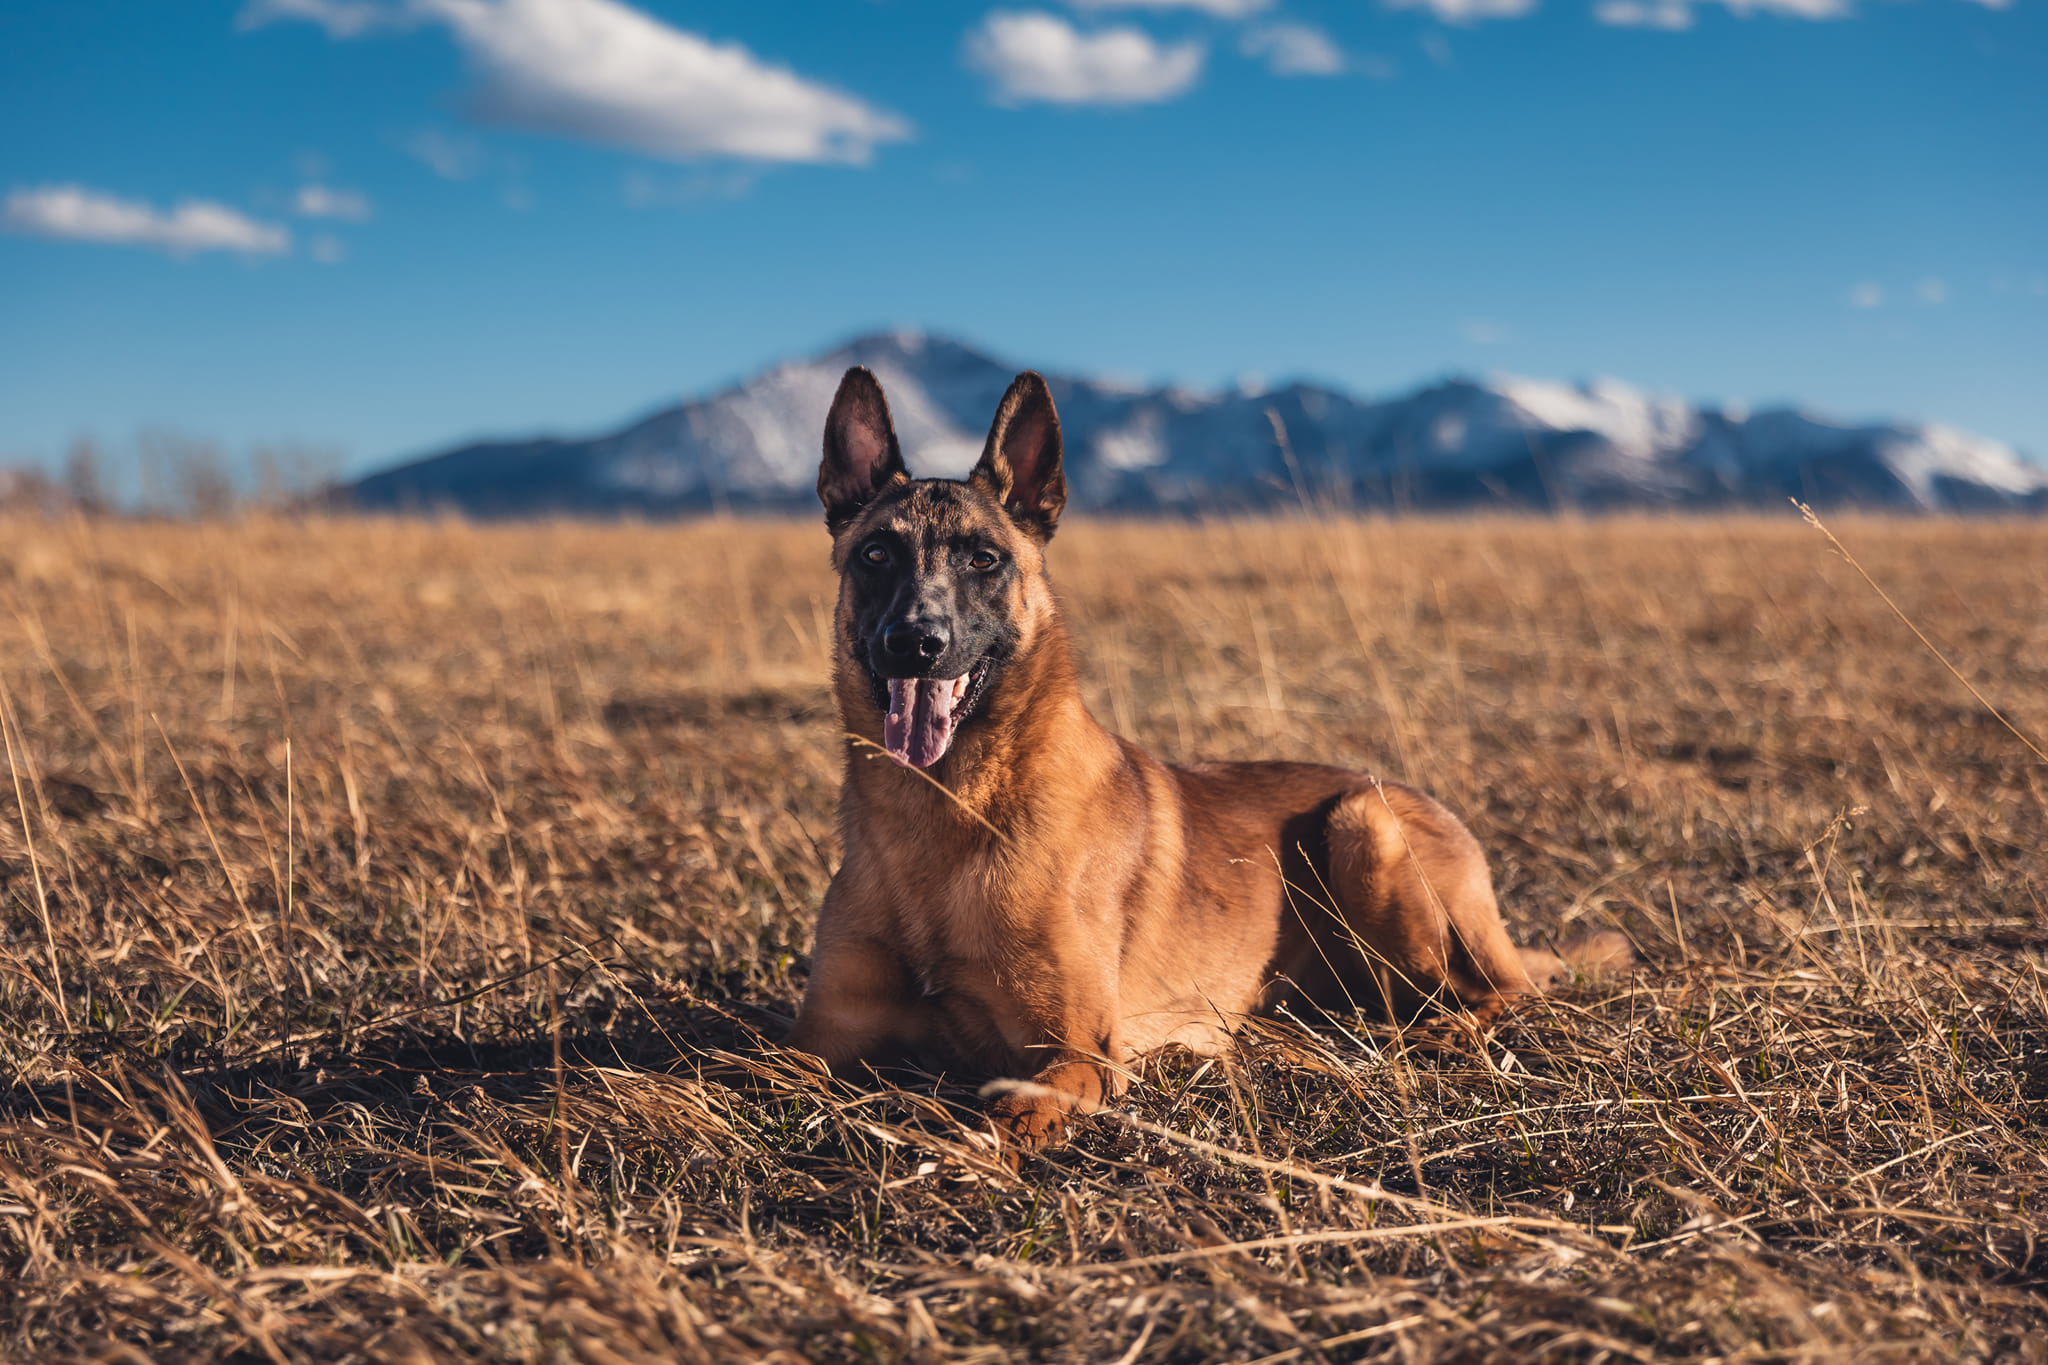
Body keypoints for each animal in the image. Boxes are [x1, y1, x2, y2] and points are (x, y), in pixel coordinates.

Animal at [774, 366, 1622, 1154]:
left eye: (984, 559)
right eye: (875, 554)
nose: (915, 642)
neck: (943, 812)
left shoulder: (1077, 1054)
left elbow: (995, 1123)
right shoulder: (815, 1042)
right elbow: (754, 1067)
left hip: (1364, 823)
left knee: (1496, 991)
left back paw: (1433, 1032)